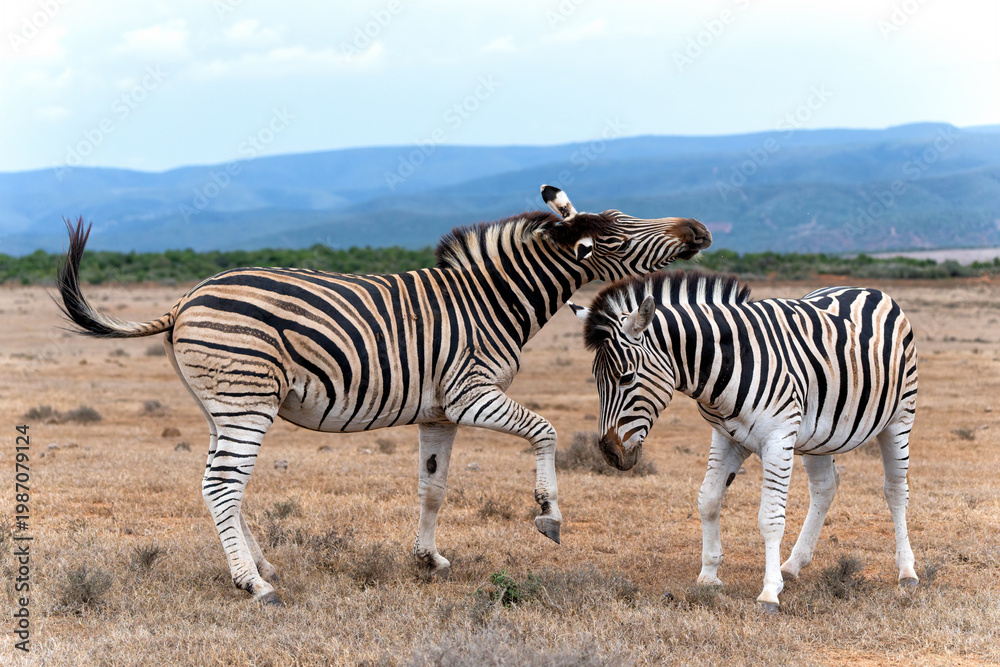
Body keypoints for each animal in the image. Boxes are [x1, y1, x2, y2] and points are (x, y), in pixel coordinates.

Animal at [57, 186, 712, 605]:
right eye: (620, 234)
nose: (699, 229)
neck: (490, 302)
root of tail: (185, 299)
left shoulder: (441, 412)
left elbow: (433, 487)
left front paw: (428, 560)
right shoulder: (473, 393)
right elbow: (545, 431)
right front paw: (548, 515)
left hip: (224, 405)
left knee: (225, 483)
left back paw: (260, 565)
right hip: (246, 401)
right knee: (221, 485)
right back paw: (254, 585)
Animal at [569, 270, 918, 611]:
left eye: (626, 377)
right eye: (596, 379)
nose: (610, 453)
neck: (729, 364)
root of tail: (864, 288)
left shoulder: (778, 438)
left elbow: (770, 518)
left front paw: (769, 592)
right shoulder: (727, 436)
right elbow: (708, 500)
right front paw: (709, 575)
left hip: (900, 417)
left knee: (895, 490)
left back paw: (907, 572)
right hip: (819, 434)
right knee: (825, 487)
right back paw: (793, 565)